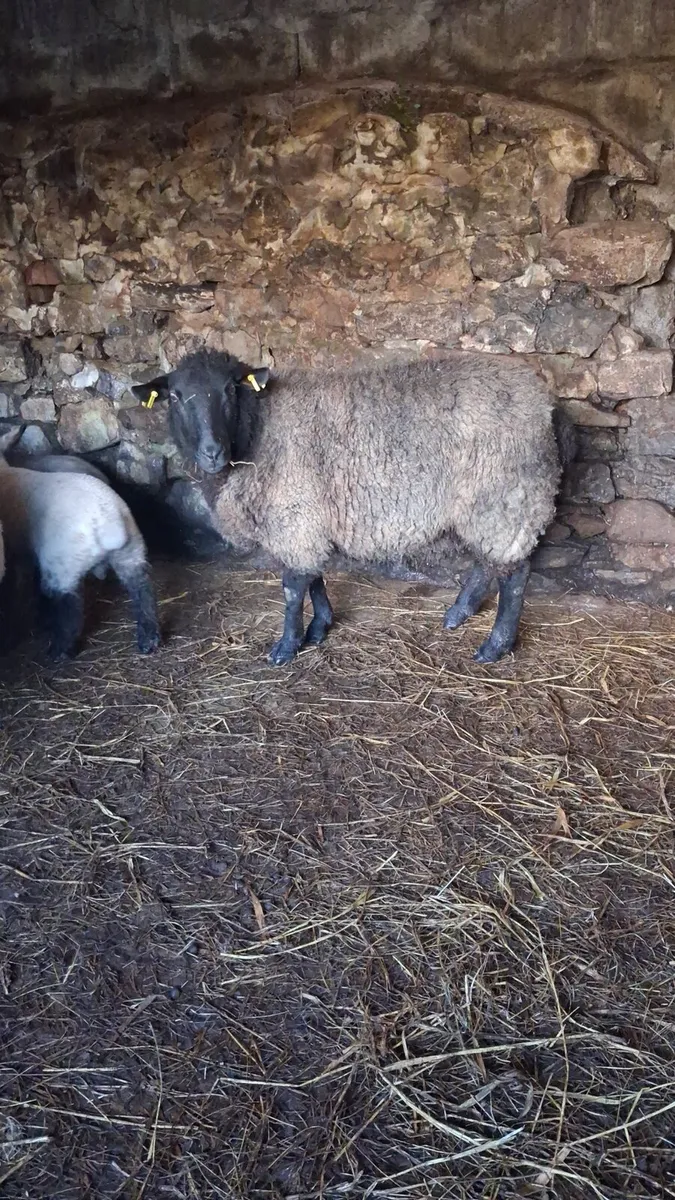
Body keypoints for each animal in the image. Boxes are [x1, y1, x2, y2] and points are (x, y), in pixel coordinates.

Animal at [0, 428, 160, 659]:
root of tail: (109, 522)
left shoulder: (17, 554)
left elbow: (16, 588)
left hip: (62, 567)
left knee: (70, 609)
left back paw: (59, 651)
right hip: (131, 553)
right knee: (142, 591)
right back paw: (149, 639)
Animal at [133, 349, 566, 666]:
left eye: (229, 390)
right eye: (175, 396)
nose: (212, 453)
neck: (257, 429)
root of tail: (545, 402)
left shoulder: (293, 512)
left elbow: (293, 587)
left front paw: (287, 646)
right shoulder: (306, 515)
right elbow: (314, 576)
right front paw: (320, 627)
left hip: (508, 493)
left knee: (514, 573)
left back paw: (495, 645)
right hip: (485, 501)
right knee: (488, 561)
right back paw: (458, 613)